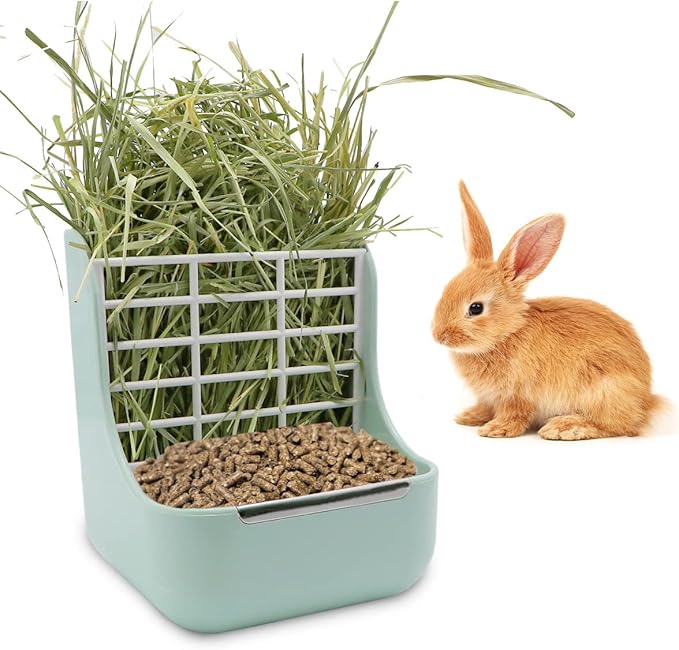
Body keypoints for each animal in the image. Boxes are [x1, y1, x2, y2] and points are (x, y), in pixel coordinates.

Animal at [431, 180, 662, 440]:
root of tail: (646, 402)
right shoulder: (489, 397)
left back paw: (564, 427)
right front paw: (469, 416)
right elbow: (486, 406)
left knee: (616, 425)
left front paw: (495, 429)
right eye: (446, 290)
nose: (439, 336)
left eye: (476, 308)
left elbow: (514, 414)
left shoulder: (517, 394)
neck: (508, 334)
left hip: (605, 388)